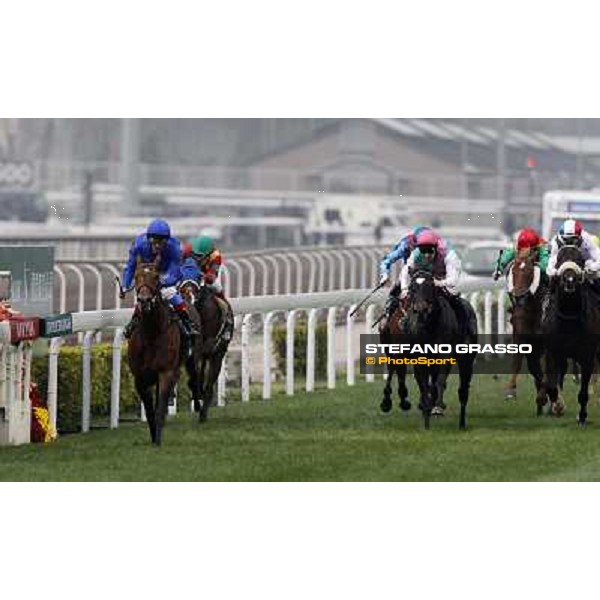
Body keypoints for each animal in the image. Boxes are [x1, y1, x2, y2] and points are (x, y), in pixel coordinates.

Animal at [126, 258, 183, 446]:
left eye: (156, 277)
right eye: (136, 276)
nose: (144, 301)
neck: (151, 333)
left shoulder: (166, 372)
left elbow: (159, 408)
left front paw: (157, 439)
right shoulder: (139, 378)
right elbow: (150, 411)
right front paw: (152, 437)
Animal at [404, 272, 478, 432]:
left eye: (430, 286)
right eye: (412, 287)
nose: (421, 309)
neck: (429, 327)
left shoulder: (445, 355)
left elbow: (440, 381)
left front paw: (437, 408)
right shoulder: (419, 358)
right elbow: (424, 386)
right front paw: (426, 417)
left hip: (466, 361)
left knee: (463, 391)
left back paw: (461, 424)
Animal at [502, 248, 548, 412]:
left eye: (529, 271)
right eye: (513, 270)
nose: (518, 295)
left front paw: (543, 397)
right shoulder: (520, 335)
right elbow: (517, 362)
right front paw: (510, 391)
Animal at [536, 241, 600, 424]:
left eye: (580, 259)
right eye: (559, 259)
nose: (569, 280)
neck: (569, 319)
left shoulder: (587, 355)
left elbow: (584, 391)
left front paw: (582, 416)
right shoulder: (553, 352)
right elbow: (552, 386)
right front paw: (557, 405)